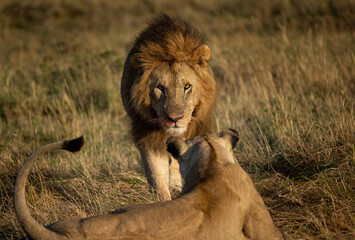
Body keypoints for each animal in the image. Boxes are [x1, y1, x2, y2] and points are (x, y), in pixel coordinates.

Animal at [120, 13, 217, 201]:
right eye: (160, 88)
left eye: (187, 86)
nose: (175, 119)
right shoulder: (147, 135)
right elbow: (157, 176)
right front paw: (164, 200)